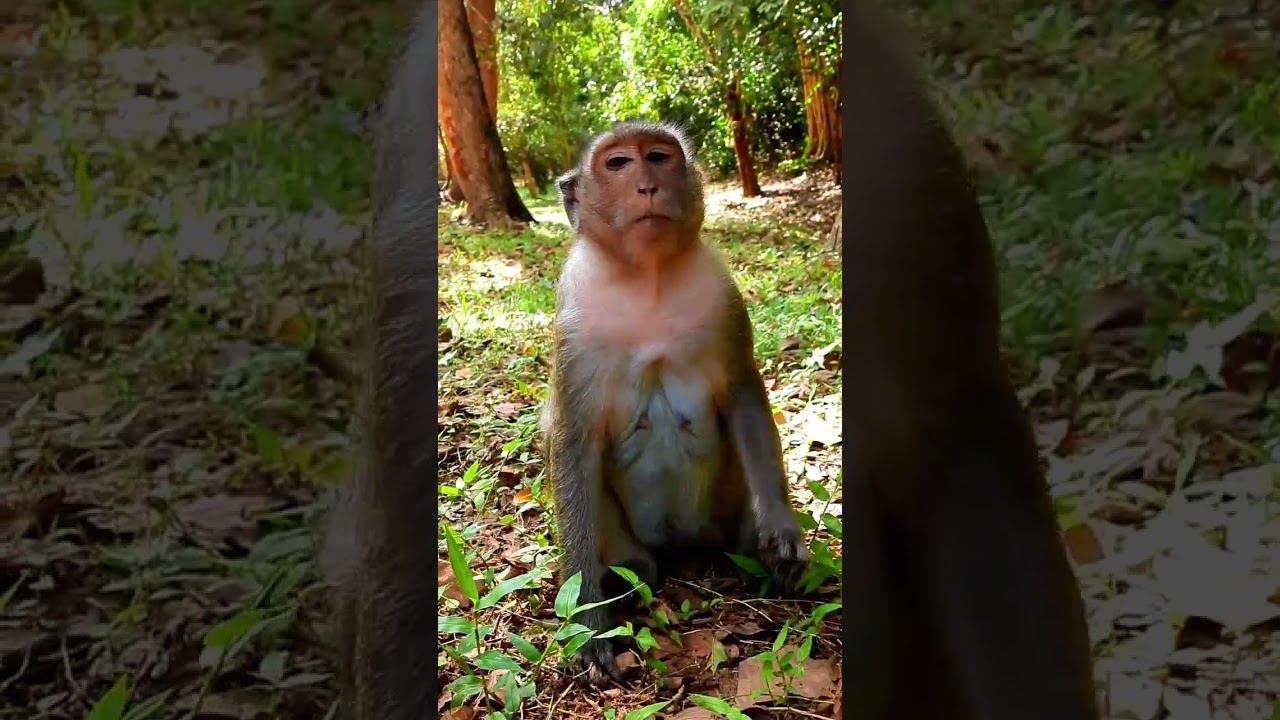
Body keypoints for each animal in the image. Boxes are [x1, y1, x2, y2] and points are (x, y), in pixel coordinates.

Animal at [541, 120, 810, 683]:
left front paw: (780, 530)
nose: (647, 184)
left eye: (659, 156)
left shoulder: (722, 295)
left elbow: (743, 393)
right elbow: (572, 440)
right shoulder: (574, 321)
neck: (648, 278)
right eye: (618, 163)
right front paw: (589, 619)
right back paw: (623, 582)